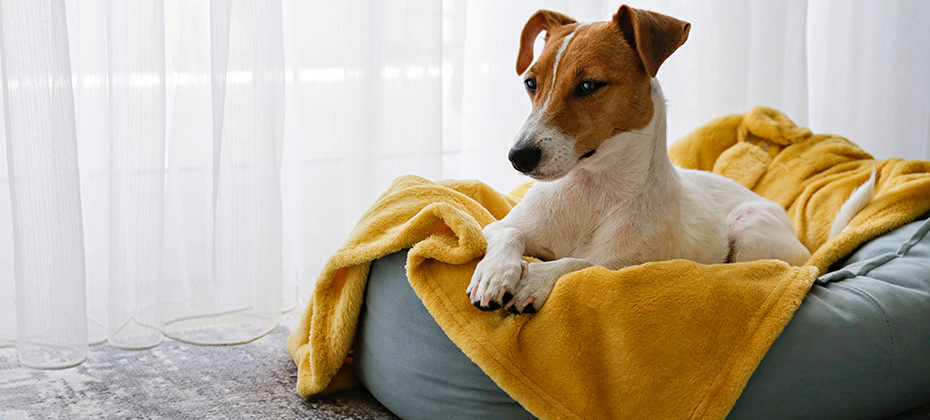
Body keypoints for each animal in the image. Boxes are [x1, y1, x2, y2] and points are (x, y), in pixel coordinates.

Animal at [464, 4, 872, 316]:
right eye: (531, 83)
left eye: (588, 86)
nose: (518, 157)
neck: (592, 192)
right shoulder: (498, 226)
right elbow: (509, 234)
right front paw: (495, 273)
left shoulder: (629, 268)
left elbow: (577, 262)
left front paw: (535, 278)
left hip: (752, 231)